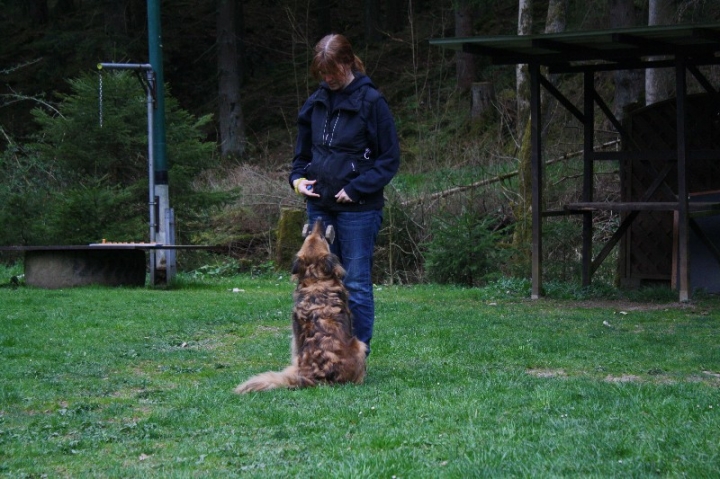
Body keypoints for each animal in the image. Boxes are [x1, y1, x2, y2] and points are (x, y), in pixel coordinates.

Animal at [235, 221, 368, 394]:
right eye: (320, 236)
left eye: (313, 235)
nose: (319, 219)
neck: (315, 280)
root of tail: (316, 375)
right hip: (360, 346)